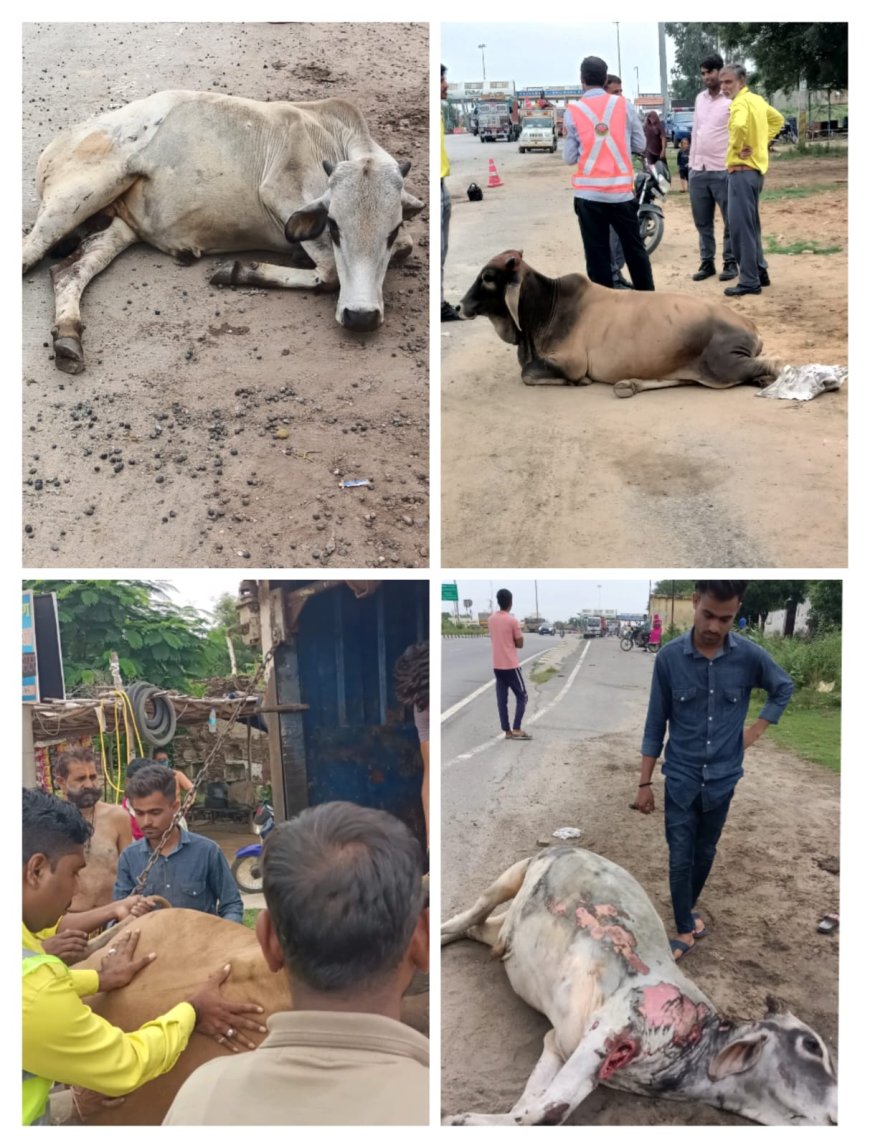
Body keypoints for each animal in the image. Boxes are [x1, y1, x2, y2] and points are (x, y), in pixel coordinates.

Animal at [23, 93, 426, 374]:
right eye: (335, 227)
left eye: (391, 232)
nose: (361, 316)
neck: (331, 134)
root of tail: (58, 142)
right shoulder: (280, 191)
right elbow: (329, 273)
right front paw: (239, 270)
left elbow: (399, 249)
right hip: (79, 194)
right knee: (31, 251)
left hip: (119, 228)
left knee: (68, 270)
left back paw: (68, 337)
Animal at [443, 849, 840, 1125]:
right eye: (812, 1046)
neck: (695, 1047)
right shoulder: (611, 1027)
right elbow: (548, 1111)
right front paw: (458, 1118)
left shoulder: (562, 1045)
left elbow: (535, 1108)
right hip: (514, 874)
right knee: (467, 915)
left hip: (500, 927)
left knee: (479, 928)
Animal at [459, 249, 780, 397]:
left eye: (488, 277)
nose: (460, 306)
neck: (548, 307)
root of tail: (750, 325)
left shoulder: (571, 363)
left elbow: (527, 373)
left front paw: (580, 382)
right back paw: (629, 384)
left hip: (724, 365)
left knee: (773, 365)